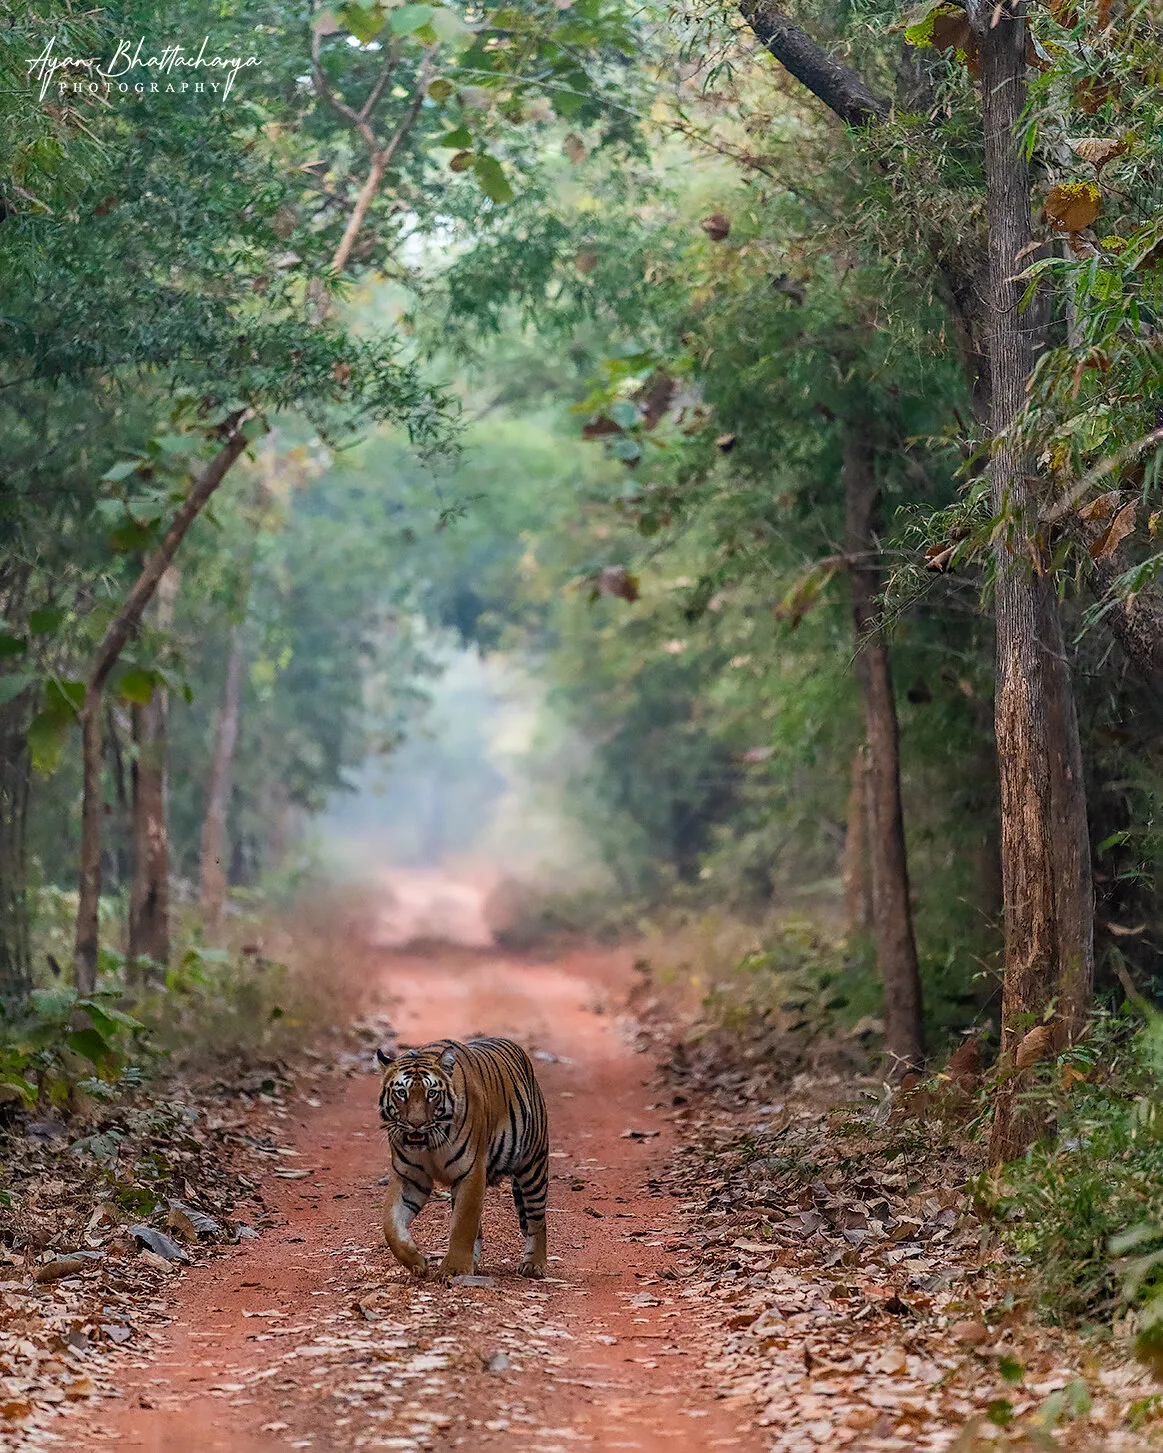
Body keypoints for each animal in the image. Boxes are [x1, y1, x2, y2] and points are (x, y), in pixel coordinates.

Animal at [375, 1036, 549, 1280]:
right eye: (402, 1093)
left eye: (431, 1094)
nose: (416, 1124)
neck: (430, 1144)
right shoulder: (410, 1178)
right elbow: (390, 1224)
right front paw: (417, 1261)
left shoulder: (471, 1172)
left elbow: (463, 1224)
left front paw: (455, 1268)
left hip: (533, 1166)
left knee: (537, 1220)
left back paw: (533, 1264)